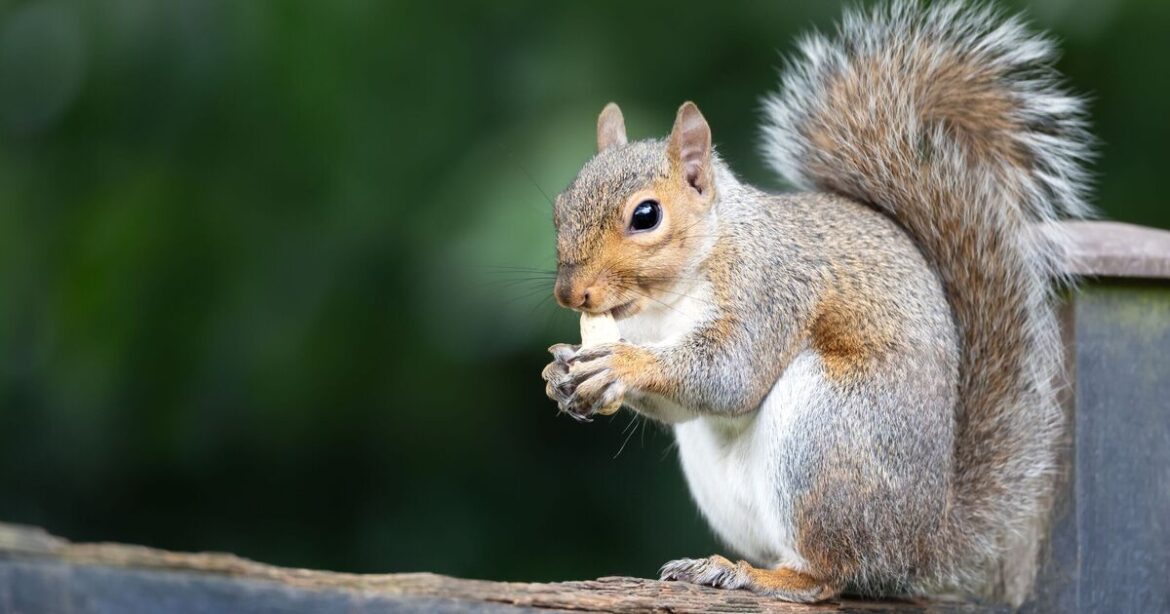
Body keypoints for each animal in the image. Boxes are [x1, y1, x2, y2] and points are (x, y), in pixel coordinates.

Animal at [540, 0, 1091, 606]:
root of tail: (921, 544)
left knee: (831, 574)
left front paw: (620, 364)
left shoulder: (770, 291)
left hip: (824, 436)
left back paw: (757, 575)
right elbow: (684, 403)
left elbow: (731, 373)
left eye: (646, 215)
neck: (670, 299)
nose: (570, 293)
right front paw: (561, 371)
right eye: (559, 206)